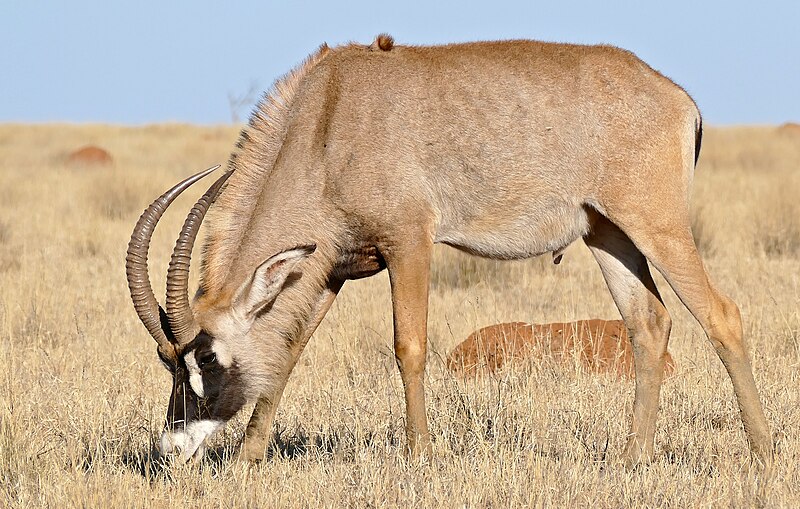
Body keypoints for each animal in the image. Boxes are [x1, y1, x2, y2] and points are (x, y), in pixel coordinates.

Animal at [126, 33, 776, 466]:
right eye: (168, 362)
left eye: (206, 357)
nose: (172, 447)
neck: (329, 117)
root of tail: (679, 99)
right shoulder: (331, 267)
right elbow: (287, 355)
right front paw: (250, 459)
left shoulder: (409, 241)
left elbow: (408, 346)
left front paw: (419, 456)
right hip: (608, 233)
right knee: (648, 323)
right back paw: (632, 458)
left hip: (656, 225)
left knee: (722, 315)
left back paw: (763, 456)